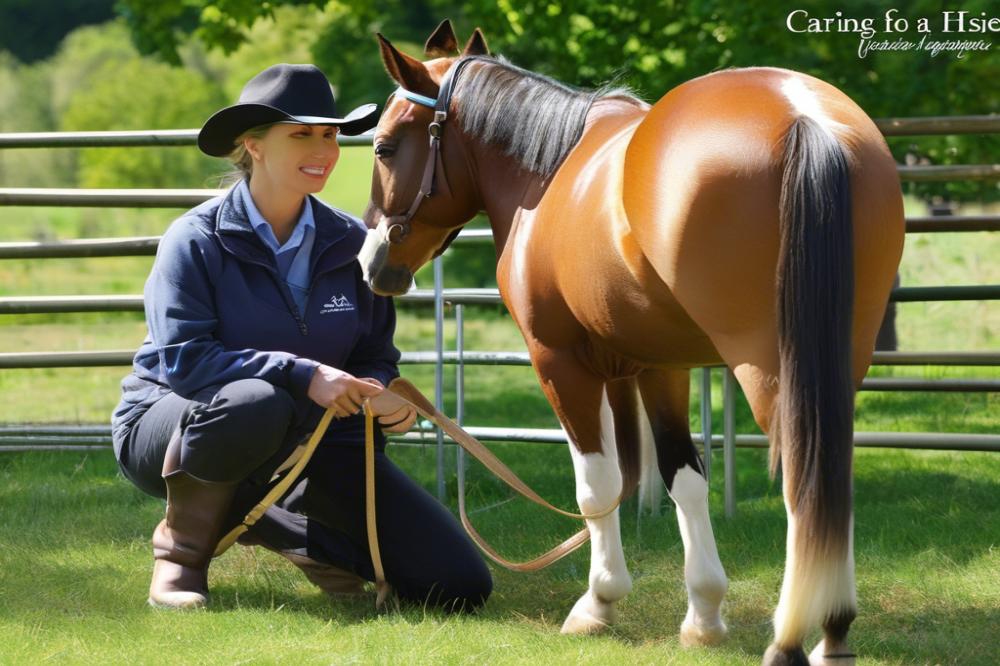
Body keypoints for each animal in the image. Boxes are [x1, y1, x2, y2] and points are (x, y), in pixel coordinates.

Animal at [362, 20, 908, 664]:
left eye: (384, 147)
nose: (373, 263)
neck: (546, 173)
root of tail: (806, 119)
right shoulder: (653, 366)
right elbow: (677, 477)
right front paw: (703, 615)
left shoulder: (559, 361)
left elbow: (597, 486)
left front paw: (598, 603)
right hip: (838, 360)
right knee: (831, 482)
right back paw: (834, 630)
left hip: (770, 369)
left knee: (804, 482)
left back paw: (792, 638)